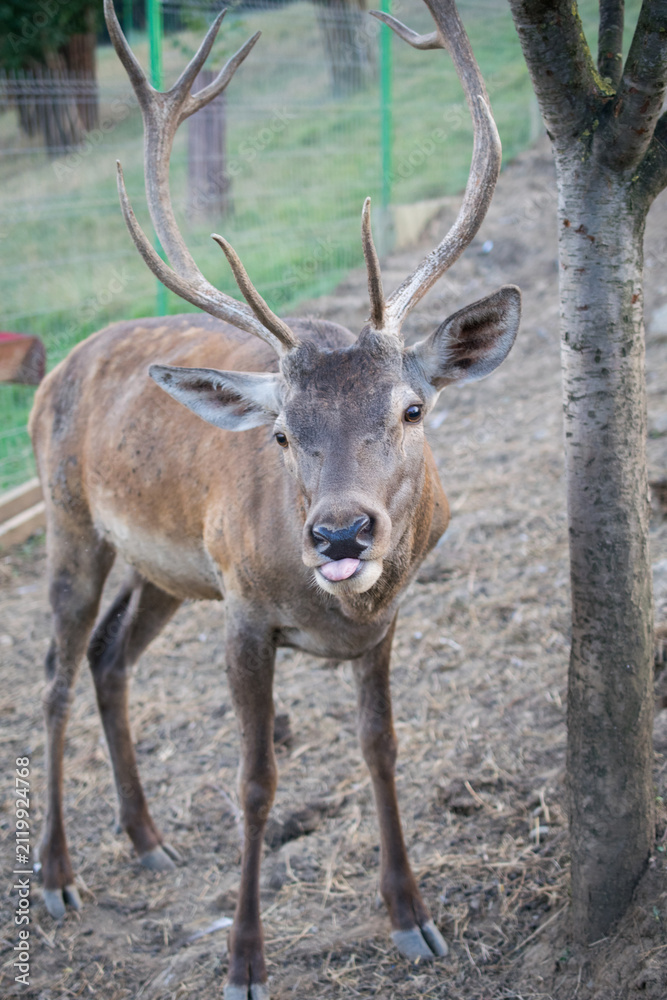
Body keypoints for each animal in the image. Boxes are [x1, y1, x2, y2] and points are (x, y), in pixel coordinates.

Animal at [29, 0, 520, 996]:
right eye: (284, 432)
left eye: (412, 407)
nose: (340, 532)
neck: (331, 605)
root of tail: (52, 372)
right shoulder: (245, 613)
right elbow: (255, 781)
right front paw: (244, 959)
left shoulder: (383, 622)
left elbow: (381, 750)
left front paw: (413, 918)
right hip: (71, 522)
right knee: (54, 672)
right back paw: (58, 874)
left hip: (166, 571)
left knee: (107, 655)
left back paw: (147, 839)